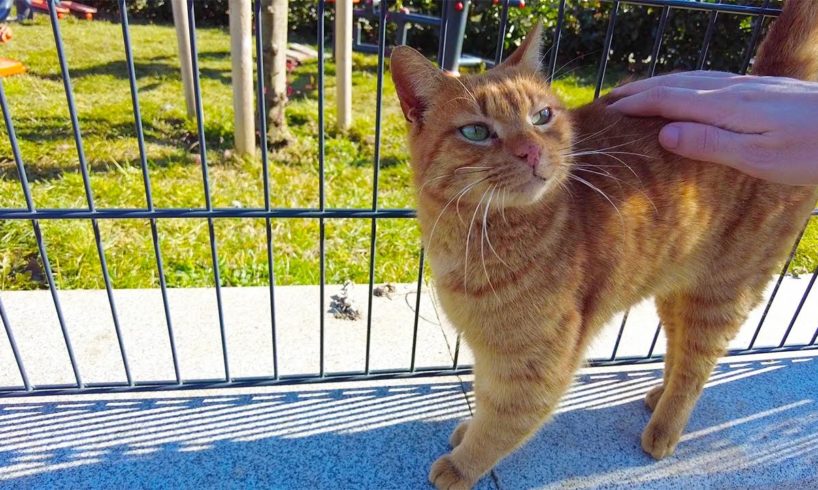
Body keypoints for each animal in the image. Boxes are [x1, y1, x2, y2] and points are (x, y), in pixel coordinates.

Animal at [388, 1, 816, 488]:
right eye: (476, 132)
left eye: (541, 117)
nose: (532, 152)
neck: (473, 240)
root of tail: (769, 75)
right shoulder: (488, 351)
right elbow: (482, 396)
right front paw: (466, 430)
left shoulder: (536, 366)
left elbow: (500, 422)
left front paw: (463, 463)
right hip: (675, 291)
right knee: (678, 350)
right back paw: (658, 395)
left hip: (723, 292)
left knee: (697, 366)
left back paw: (665, 429)